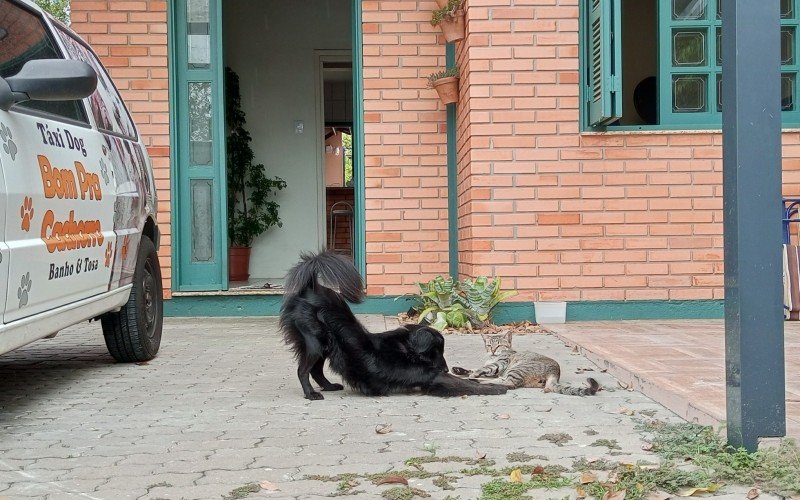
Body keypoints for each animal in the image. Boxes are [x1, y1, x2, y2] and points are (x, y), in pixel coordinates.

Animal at [280, 252, 506, 400]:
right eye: (436, 351)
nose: (446, 367)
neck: (406, 349)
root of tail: (311, 285)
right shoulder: (431, 377)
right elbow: (464, 383)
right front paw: (495, 388)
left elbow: (470, 381)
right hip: (316, 341)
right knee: (303, 370)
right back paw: (310, 394)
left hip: (325, 345)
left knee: (316, 371)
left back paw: (328, 386)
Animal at [454, 330, 596, 396]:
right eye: (489, 345)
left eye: (499, 345)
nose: (493, 351)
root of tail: (555, 372)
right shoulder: (494, 370)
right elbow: (475, 368)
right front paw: (460, 370)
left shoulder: (500, 364)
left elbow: (482, 368)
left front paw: (473, 374)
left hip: (517, 369)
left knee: (509, 384)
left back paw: (478, 382)